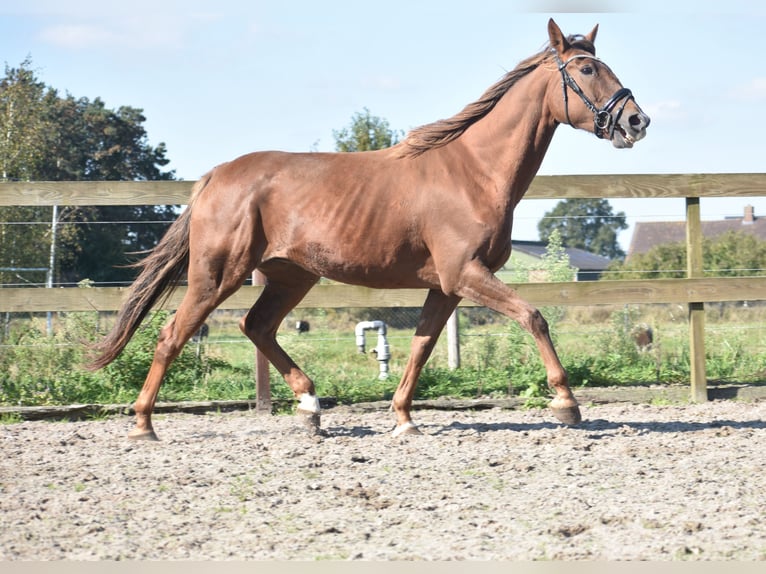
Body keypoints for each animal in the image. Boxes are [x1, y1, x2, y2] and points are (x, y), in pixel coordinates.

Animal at [93, 19, 652, 440]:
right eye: (586, 68)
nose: (636, 121)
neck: (475, 171)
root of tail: (216, 175)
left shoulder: (446, 286)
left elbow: (423, 345)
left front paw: (403, 418)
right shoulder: (466, 274)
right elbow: (534, 317)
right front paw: (567, 403)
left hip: (291, 277)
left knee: (257, 327)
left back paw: (310, 407)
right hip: (217, 274)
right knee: (173, 334)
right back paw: (143, 424)